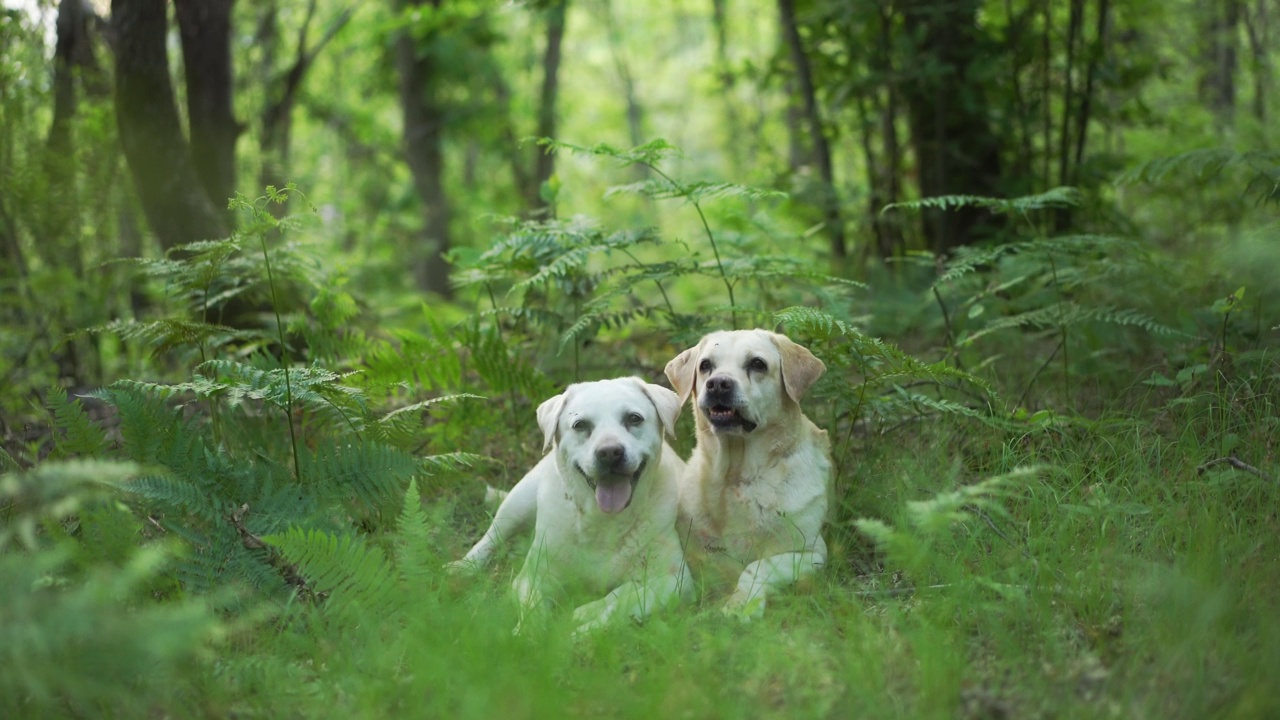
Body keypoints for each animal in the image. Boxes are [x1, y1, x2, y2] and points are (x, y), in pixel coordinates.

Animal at [450, 371, 691, 630]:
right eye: (580, 425)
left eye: (634, 419)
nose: (609, 452)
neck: (604, 521)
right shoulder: (532, 577)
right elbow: (533, 613)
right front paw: (528, 634)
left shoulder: (676, 581)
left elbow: (619, 603)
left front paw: (581, 627)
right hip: (519, 501)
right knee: (493, 535)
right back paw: (462, 567)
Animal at [665, 330, 834, 617]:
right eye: (705, 365)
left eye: (757, 364)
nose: (718, 384)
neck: (737, 476)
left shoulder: (812, 553)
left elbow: (756, 566)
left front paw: (740, 606)